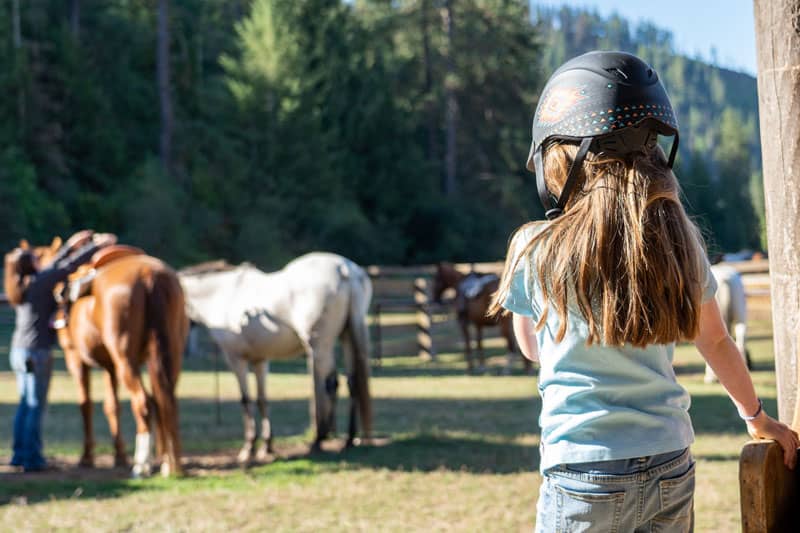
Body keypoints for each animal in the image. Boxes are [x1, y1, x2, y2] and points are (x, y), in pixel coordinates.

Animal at [52, 245, 188, 477]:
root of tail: (150, 276)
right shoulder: (111, 367)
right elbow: (112, 406)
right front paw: (121, 456)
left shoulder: (76, 359)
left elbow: (86, 405)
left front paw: (87, 457)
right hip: (171, 355)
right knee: (166, 401)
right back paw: (171, 465)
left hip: (125, 358)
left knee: (143, 402)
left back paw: (142, 465)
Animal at [177, 252, 373, 461]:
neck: (222, 294)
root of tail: (344, 269)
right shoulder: (259, 360)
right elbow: (262, 399)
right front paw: (267, 446)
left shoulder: (235, 358)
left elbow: (245, 399)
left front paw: (248, 447)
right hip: (347, 336)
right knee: (352, 382)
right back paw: (349, 439)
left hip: (319, 345)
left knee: (330, 385)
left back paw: (319, 440)